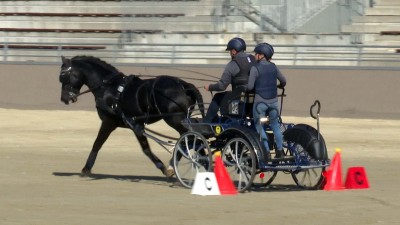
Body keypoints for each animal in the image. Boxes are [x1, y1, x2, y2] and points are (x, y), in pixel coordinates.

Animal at [58, 55, 206, 178]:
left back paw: (180, 164)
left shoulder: (109, 122)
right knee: (191, 138)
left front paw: (86, 169)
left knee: (189, 138)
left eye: (63, 76)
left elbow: (97, 143)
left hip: (175, 119)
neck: (109, 89)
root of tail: (184, 85)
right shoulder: (136, 125)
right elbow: (145, 148)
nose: (64, 99)